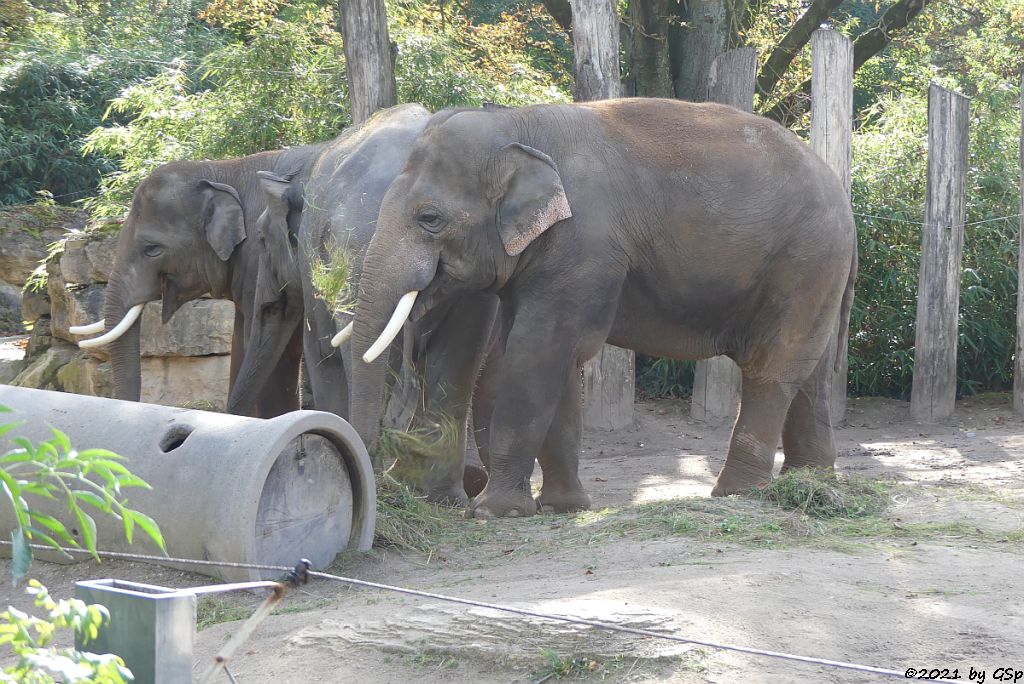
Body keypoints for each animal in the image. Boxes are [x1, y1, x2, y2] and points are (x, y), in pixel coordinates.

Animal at [348, 98, 860, 518]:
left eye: (429, 219)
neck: (515, 121)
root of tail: (844, 197)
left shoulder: (583, 244)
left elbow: (539, 351)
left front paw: (495, 513)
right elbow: (553, 355)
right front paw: (563, 507)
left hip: (804, 261)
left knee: (771, 369)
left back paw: (736, 494)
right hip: (817, 275)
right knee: (809, 371)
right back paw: (811, 482)